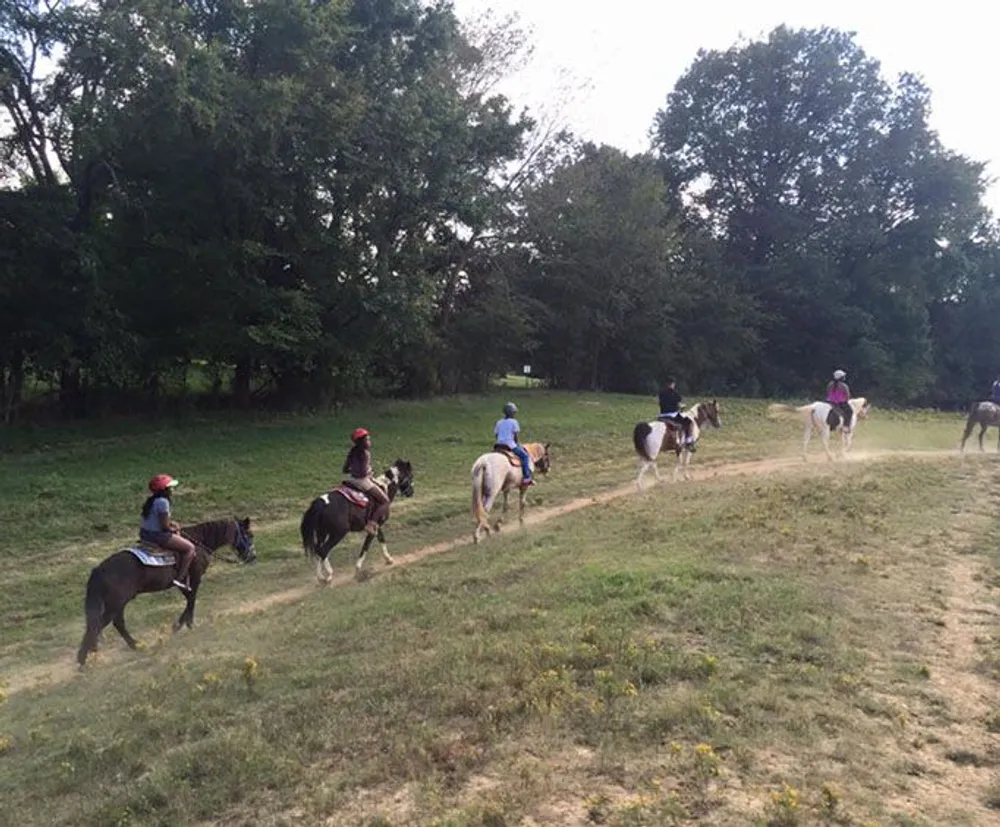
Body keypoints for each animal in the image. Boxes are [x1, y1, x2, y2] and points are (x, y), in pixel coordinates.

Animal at [76, 516, 256, 668]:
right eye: (249, 535)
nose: (253, 557)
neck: (199, 543)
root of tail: (99, 570)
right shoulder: (195, 576)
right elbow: (193, 598)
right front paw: (186, 624)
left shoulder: (182, 582)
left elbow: (189, 598)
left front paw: (180, 624)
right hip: (116, 602)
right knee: (102, 625)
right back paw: (83, 659)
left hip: (117, 603)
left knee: (116, 623)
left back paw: (134, 645)